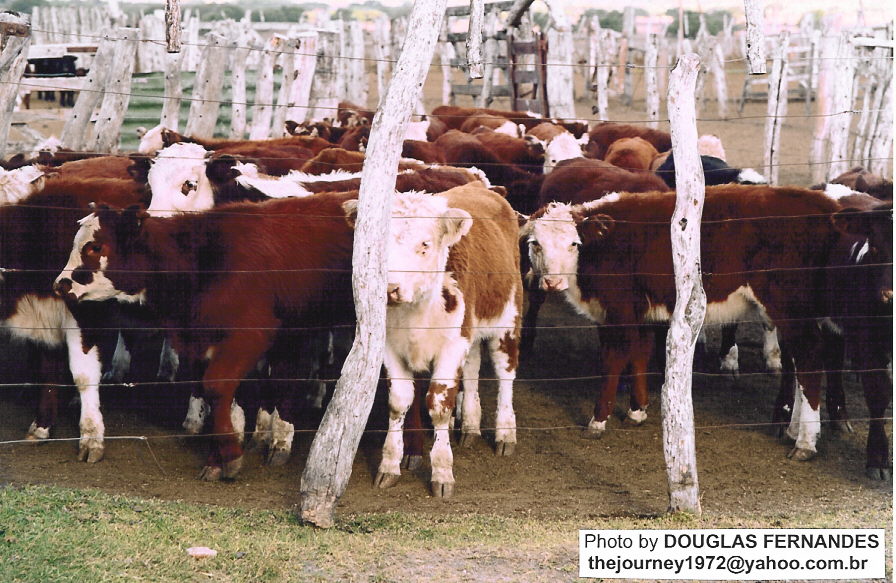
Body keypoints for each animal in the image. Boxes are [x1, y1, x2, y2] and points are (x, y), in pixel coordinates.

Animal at [54, 194, 356, 482]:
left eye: (95, 247)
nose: (60, 285)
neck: (204, 260)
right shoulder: (202, 341)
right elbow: (216, 396)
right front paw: (217, 460)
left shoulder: (250, 335)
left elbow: (216, 386)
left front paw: (231, 457)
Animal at [344, 184, 524, 498]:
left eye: (425, 245)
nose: (390, 288)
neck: (418, 310)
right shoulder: (389, 347)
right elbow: (399, 401)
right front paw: (389, 465)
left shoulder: (452, 345)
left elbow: (439, 406)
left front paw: (442, 472)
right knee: (473, 370)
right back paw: (471, 427)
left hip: (507, 321)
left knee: (505, 375)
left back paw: (505, 432)